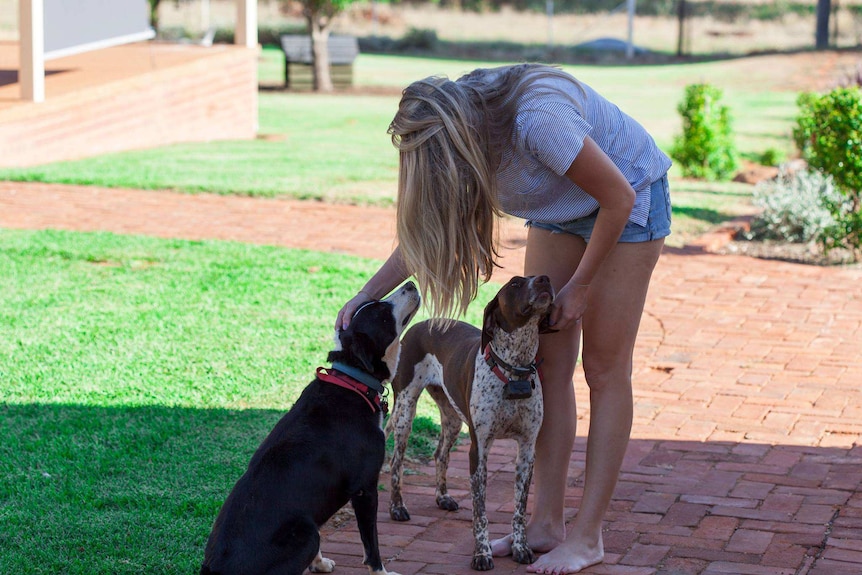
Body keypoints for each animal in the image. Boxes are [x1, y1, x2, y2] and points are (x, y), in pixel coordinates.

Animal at [201, 284, 420, 575]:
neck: (353, 380)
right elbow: (371, 543)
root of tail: (213, 567)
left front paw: (319, 563)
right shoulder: (365, 489)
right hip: (305, 534)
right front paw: (381, 572)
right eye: (382, 313)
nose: (411, 284)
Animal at [384, 278, 552, 572]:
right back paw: (397, 508)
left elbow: (520, 510)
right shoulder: (479, 450)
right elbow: (480, 511)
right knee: (396, 461)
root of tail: (421, 323)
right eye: (515, 283)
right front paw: (482, 554)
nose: (545, 279)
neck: (513, 368)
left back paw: (442, 497)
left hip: (452, 419)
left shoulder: (527, 450)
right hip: (405, 410)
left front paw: (521, 547)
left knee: (440, 454)